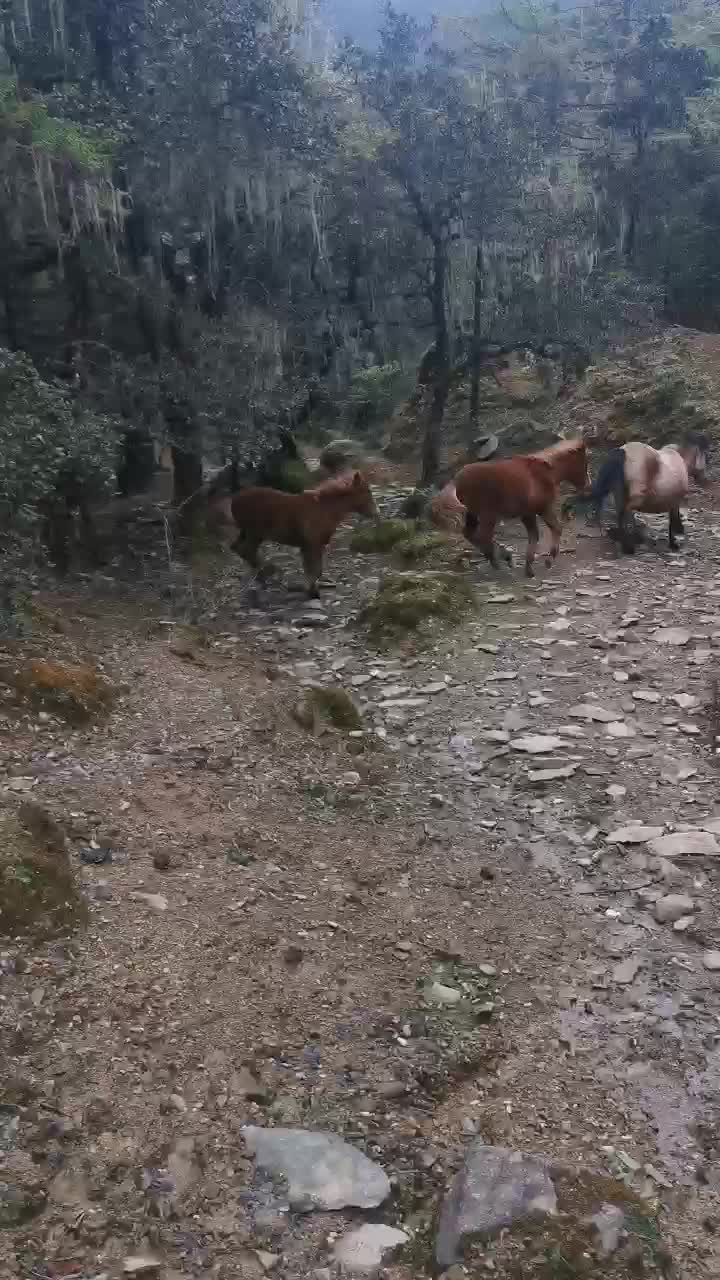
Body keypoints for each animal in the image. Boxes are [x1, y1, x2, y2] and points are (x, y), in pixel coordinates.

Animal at [226, 468, 376, 596]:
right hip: (254, 533)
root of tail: (234, 500)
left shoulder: (313, 544)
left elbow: (315, 569)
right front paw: (311, 591)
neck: (326, 509)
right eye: (367, 491)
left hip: (247, 532)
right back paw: (269, 573)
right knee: (247, 550)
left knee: (238, 548)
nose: (375, 512)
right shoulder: (311, 544)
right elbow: (313, 569)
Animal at [453, 440, 589, 581]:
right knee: (483, 536)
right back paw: (499, 560)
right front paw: (543, 562)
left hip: (472, 514)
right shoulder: (541, 510)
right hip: (488, 515)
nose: (587, 485)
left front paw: (531, 566)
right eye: (584, 463)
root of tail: (458, 480)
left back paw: (503, 557)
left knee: (470, 534)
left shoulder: (528, 514)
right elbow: (550, 530)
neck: (546, 473)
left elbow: (538, 534)